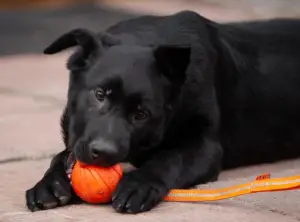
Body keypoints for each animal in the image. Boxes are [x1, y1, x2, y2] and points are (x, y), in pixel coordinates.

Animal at [25, 10, 300, 213]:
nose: (104, 153)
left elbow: (170, 158)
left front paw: (140, 183)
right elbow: (60, 157)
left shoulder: (206, 147)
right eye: (100, 95)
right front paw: (49, 184)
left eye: (141, 114)